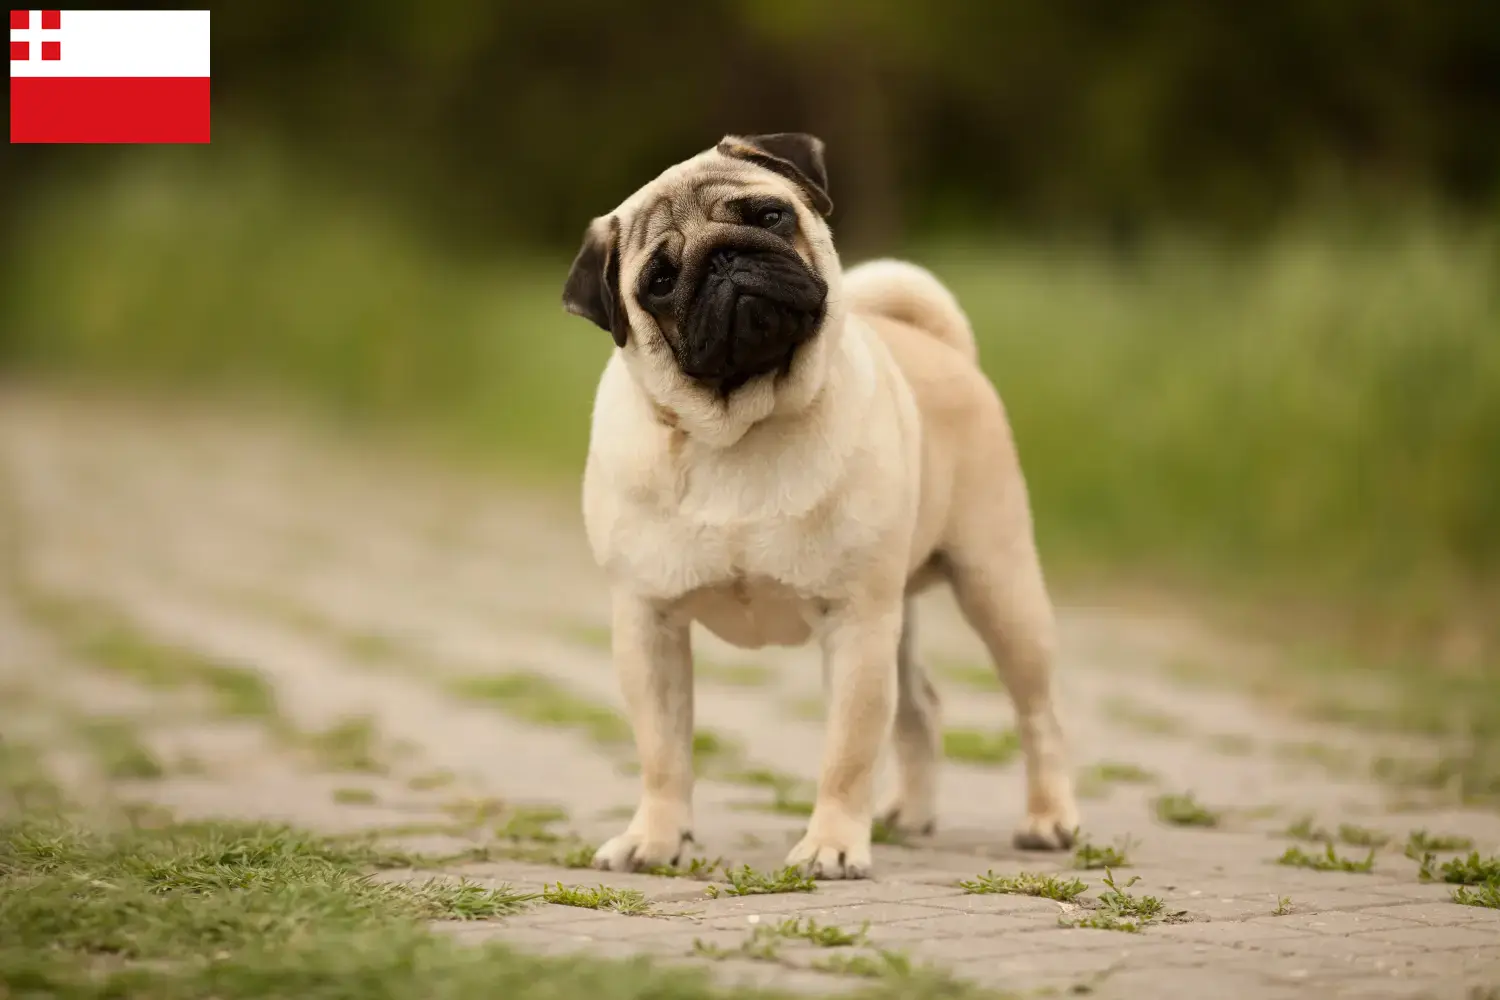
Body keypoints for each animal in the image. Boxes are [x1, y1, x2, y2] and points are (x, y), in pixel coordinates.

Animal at [564, 131, 1080, 875]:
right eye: (658, 281)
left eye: (769, 216)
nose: (725, 259)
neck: (738, 430)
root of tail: (943, 346)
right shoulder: (647, 621)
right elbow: (662, 751)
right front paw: (655, 838)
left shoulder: (855, 620)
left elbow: (847, 751)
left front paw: (832, 844)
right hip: (904, 612)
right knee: (920, 707)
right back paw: (909, 814)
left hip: (997, 584)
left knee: (1037, 712)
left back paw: (1048, 819)